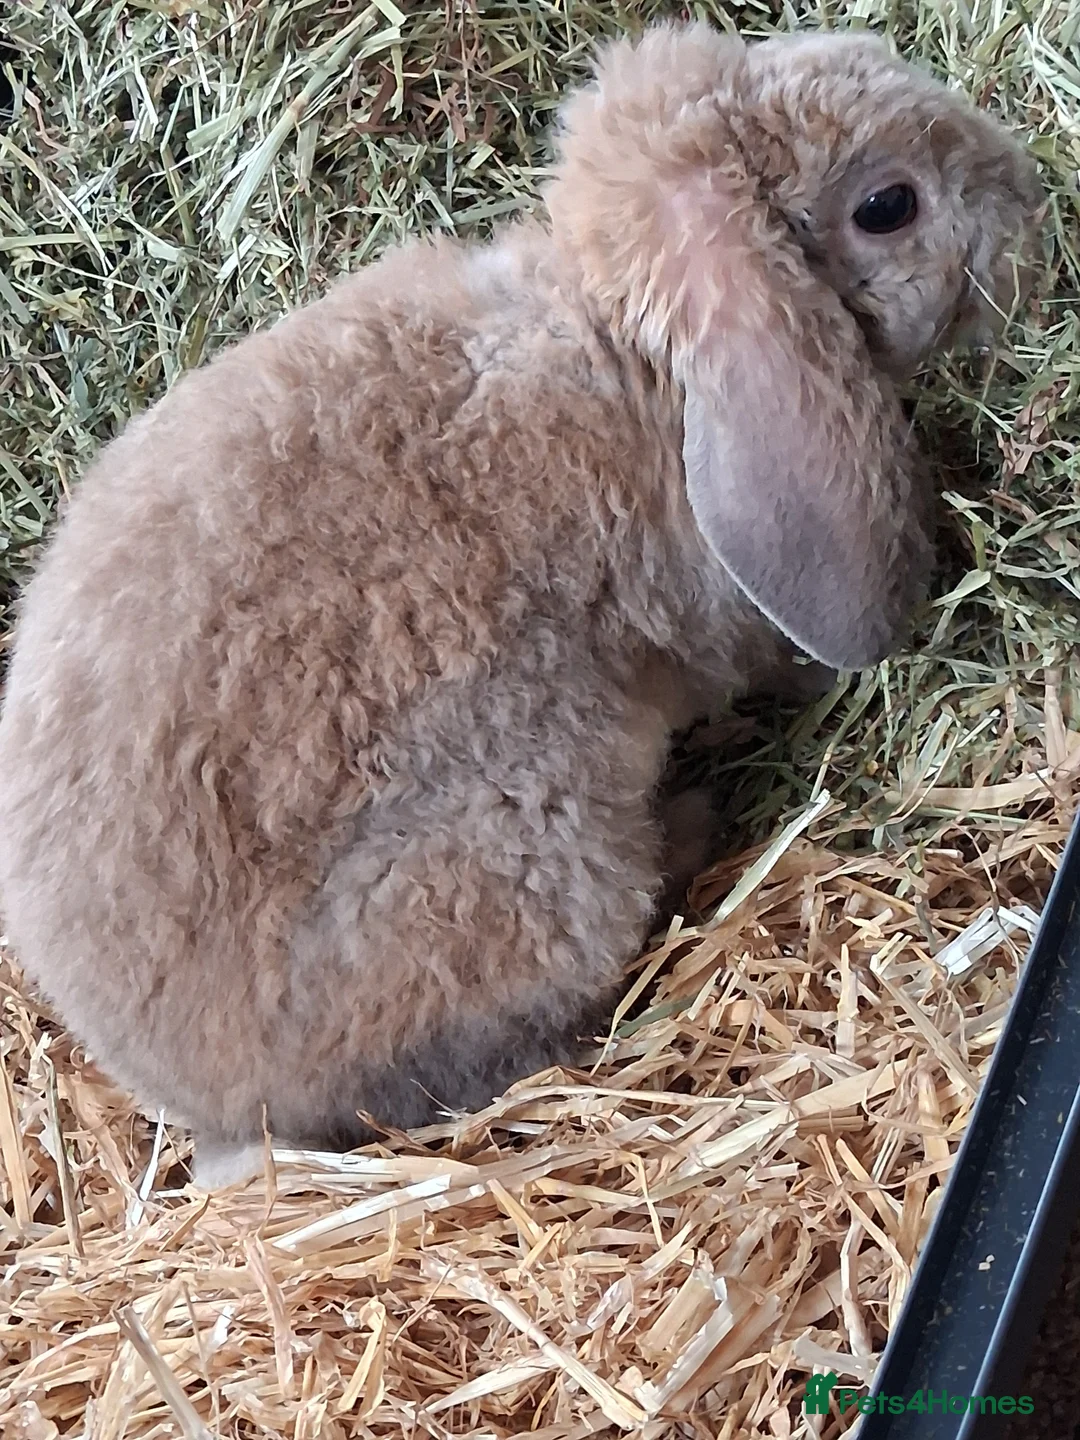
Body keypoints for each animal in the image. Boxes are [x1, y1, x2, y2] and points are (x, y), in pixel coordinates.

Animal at [0, 22, 1043, 1189]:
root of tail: (198, 1110)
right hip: (531, 853)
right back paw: (690, 825)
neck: (629, 350)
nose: (1031, 195)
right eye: (887, 205)